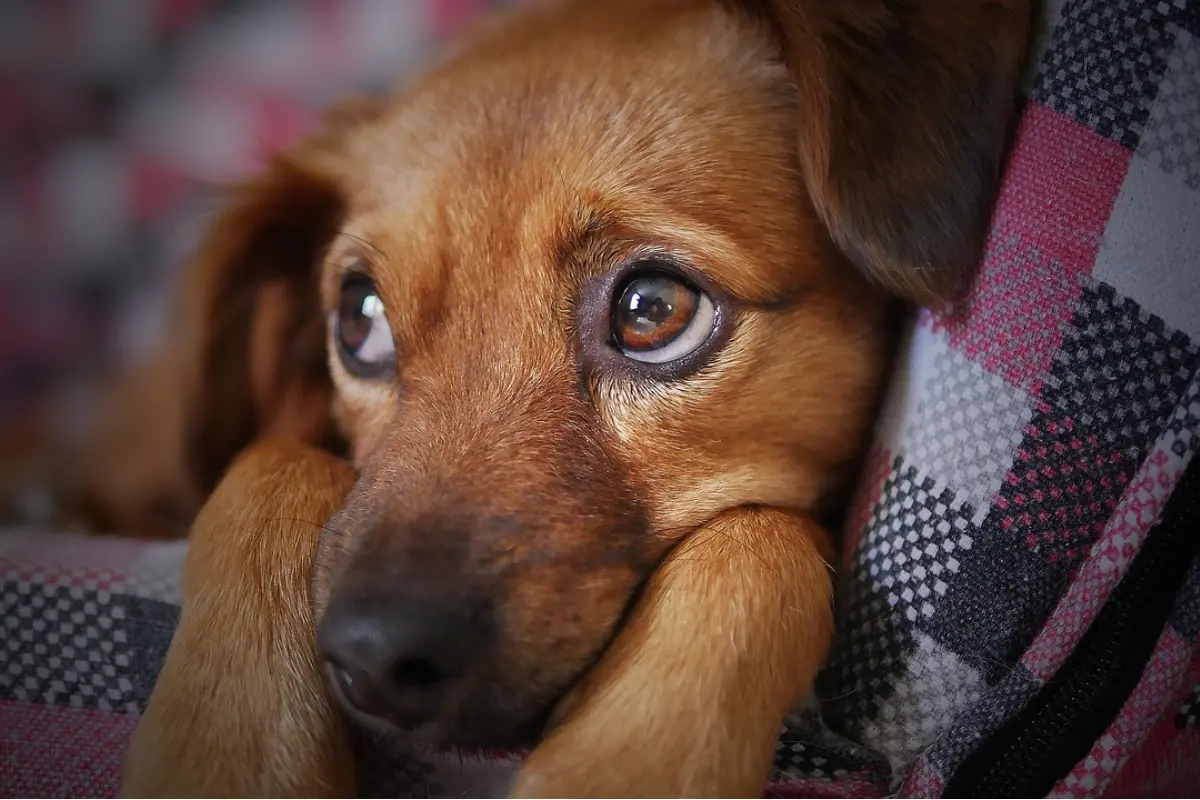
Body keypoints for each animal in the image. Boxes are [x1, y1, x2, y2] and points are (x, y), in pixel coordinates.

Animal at [112, 1, 1032, 796]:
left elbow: (759, 538)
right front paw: (224, 754)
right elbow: (268, 462)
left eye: (652, 310)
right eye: (359, 318)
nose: (374, 658)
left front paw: (620, 763)